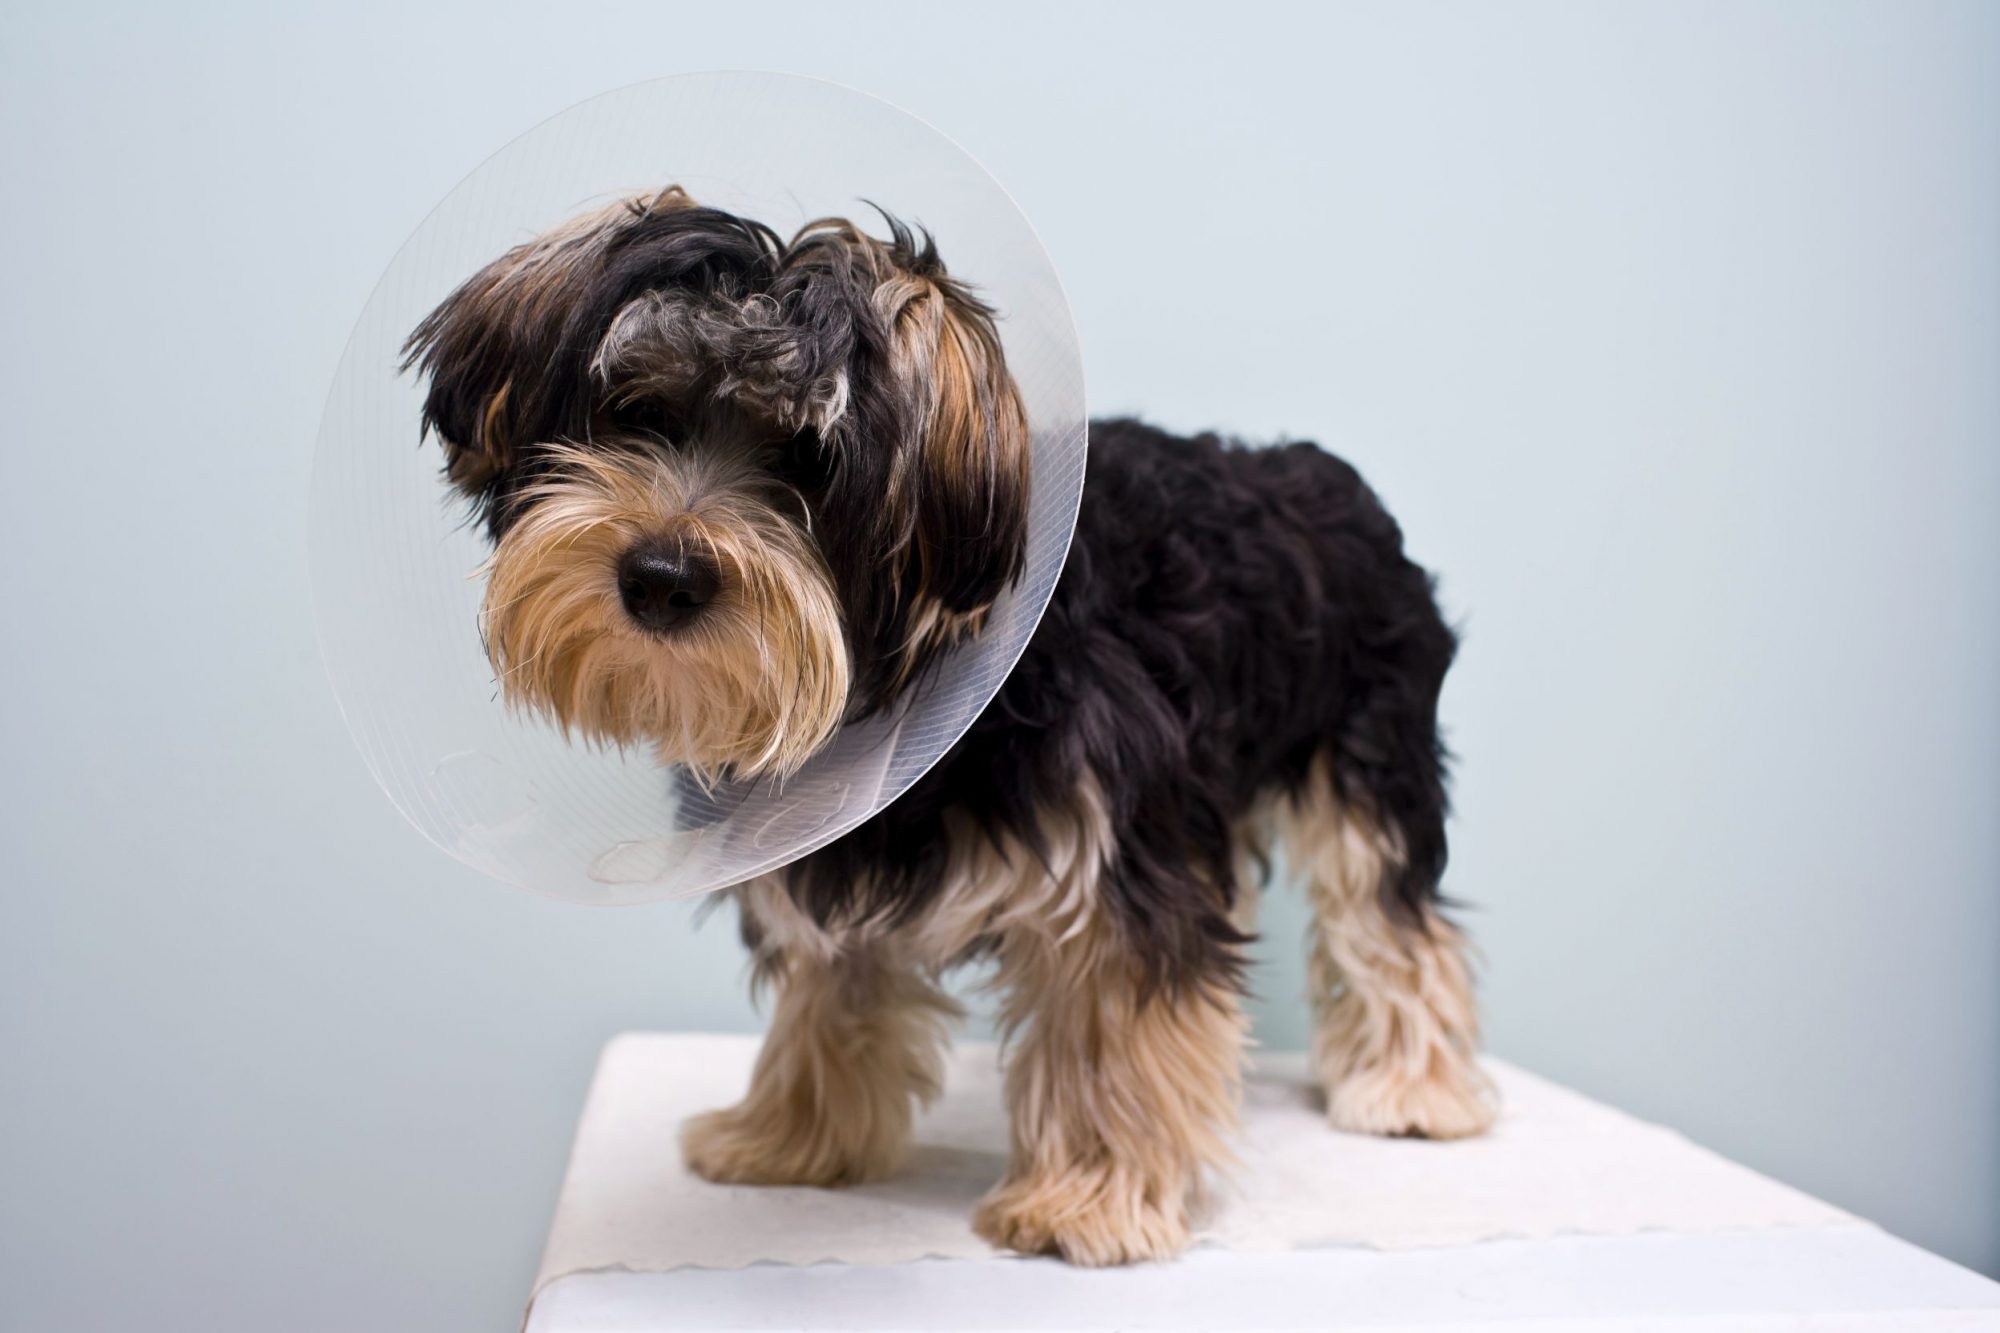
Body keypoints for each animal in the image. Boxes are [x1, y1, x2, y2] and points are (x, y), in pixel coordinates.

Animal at [406, 182, 1496, 1264]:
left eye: (809, 460)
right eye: (633, 411)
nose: (661, 575)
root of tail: (1340, 483)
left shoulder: (1112, 855)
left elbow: (1112, 1012)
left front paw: (1083, 1197)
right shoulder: (836, 839)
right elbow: (832, 987)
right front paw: (791, 1136)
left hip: (1368, 749)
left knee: (1389, 911)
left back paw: (1412, 1090)